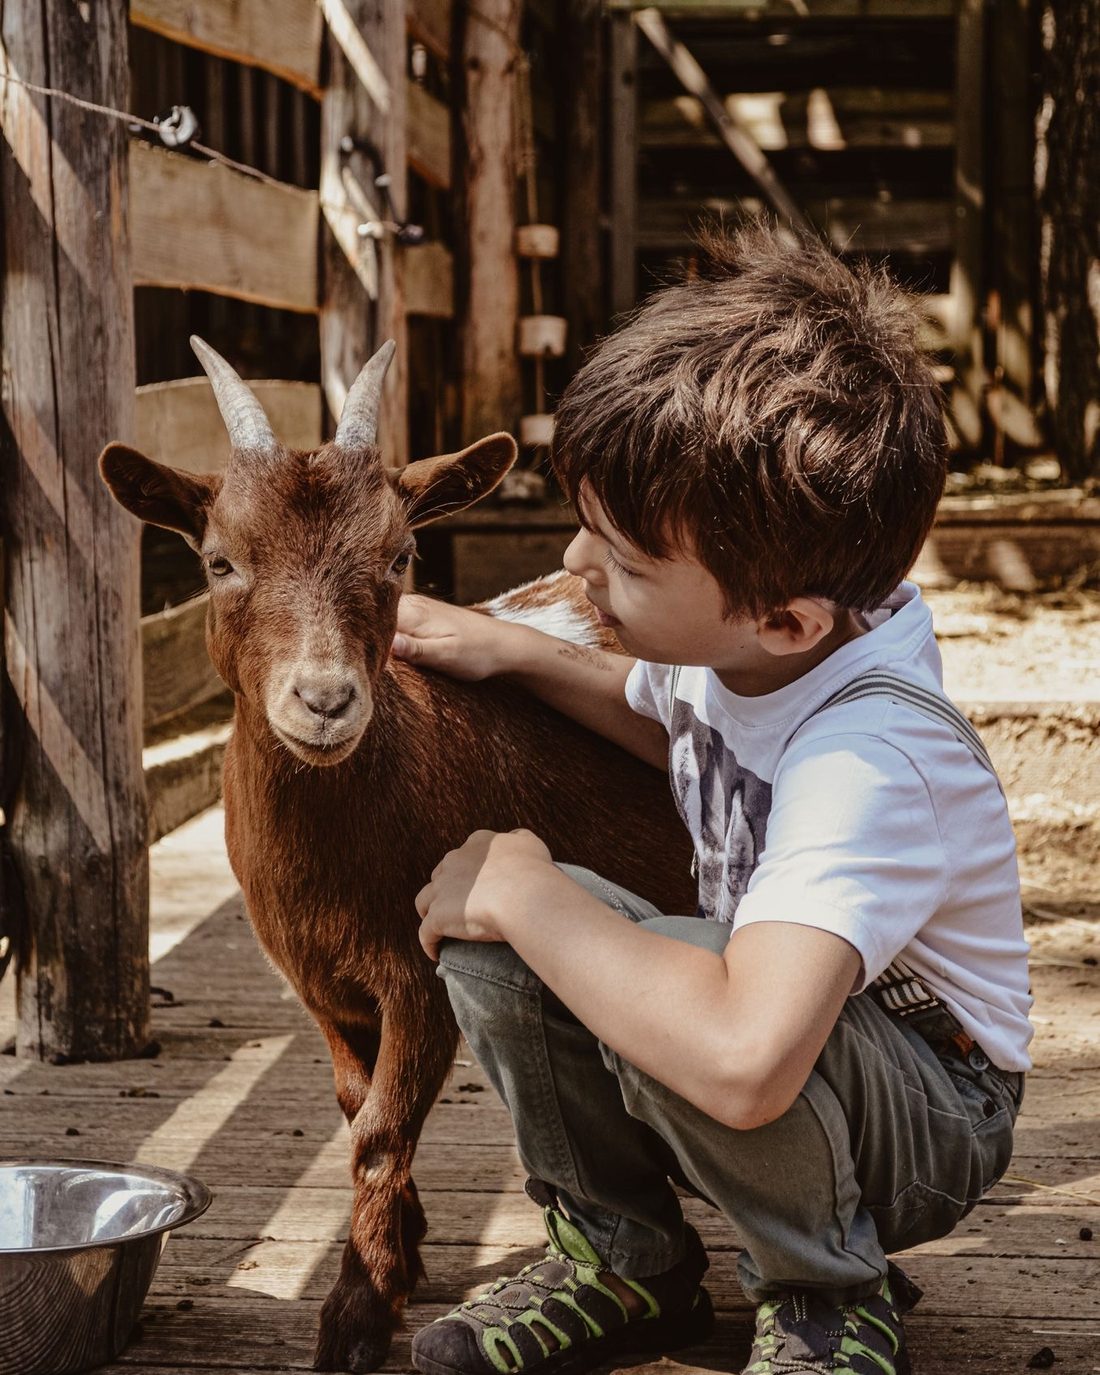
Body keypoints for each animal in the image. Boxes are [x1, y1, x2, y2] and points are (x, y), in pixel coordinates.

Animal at [100, 339, 694, 1373]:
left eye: (399, 555)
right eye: (219, 559)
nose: (325, 699)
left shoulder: (416, 976)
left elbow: (379, 1130)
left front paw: (357, 1309)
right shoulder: (323, 984)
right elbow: (352, 1103)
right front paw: (404, 1251)